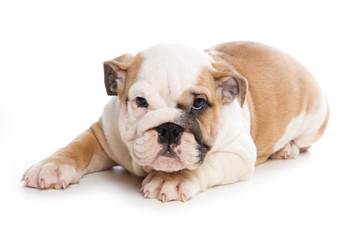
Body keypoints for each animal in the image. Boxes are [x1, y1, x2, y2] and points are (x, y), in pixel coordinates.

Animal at [21, 41, 328, 202]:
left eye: (199, 104)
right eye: (140, 101)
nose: (169, 128)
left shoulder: (239, 154)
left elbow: (205, 163)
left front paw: (171, 179)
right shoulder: (102, 134)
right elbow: (76, 146)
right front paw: (52, 166)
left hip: (315, 122)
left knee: (303, 143)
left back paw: (286, 148)